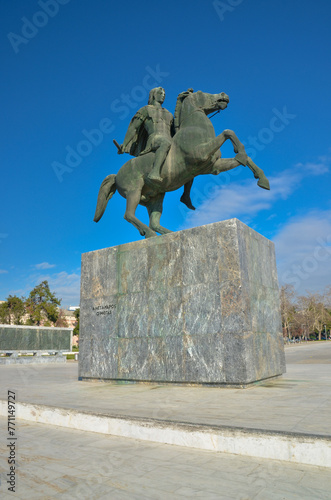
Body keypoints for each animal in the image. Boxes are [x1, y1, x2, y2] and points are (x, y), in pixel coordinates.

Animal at [93, 90, 270, 238]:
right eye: (202, 92)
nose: (224, 95)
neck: (195, 128)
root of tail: (116, 175)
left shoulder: (213, 166)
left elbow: (242, 157)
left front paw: (262, 179)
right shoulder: (201, 153)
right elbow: (228, 132)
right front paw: (240, 152)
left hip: (156, 197)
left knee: (154, 222)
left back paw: (169, 233)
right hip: (133, 191)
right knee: (129, 214)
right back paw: (149, 233)